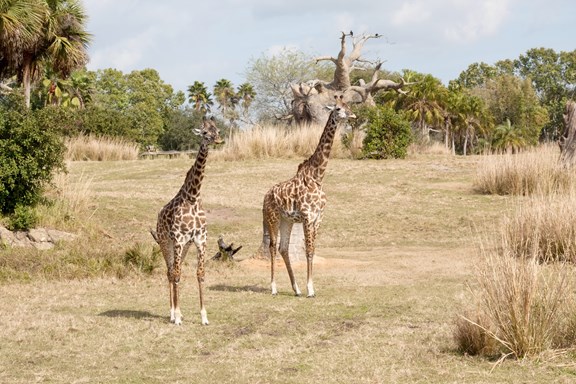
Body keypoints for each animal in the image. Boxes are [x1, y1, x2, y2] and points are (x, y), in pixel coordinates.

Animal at [153, 116, 223, 324]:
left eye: (218, 130)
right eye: (205, 133)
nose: (218, 140)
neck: (193, 196)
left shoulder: (200, 239)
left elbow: (200, 274)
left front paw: (204, 317)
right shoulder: (177, 239)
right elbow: (176, 274)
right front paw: (176, 317)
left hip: (184, 247)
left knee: (176, 270)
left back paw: (178, 312)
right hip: (165, 242)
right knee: (170, 272)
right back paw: (172, 313)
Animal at [262, 94, 354, 296]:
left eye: (348, 105)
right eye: (337, 108)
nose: (352, 115)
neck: (318, 176)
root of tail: (265, 197)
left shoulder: (318, 217)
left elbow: (312, 250)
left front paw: (309, 287)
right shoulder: (307, 216)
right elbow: (308, 251)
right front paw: (310, 289)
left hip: (286, 220)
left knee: (283, 248)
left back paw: (295, 289)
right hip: (272, 218)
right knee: (272, 247)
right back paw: (273, 287)